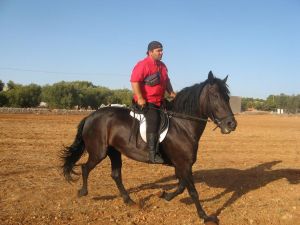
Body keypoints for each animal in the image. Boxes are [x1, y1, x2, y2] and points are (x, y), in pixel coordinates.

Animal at [61, 71, 238, 224]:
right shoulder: (184, 164)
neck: (183, 125)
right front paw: (205, 216)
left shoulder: (182, 165)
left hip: (114, 152)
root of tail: (91, 116)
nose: (232, 124)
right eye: (215, 96)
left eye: (227, 97)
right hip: (99, 152)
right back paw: (83, 192)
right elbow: (193, 191)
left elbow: (181, 186)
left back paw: (129, 200)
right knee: (85, 168)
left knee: (116, 175)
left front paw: (165, 196)